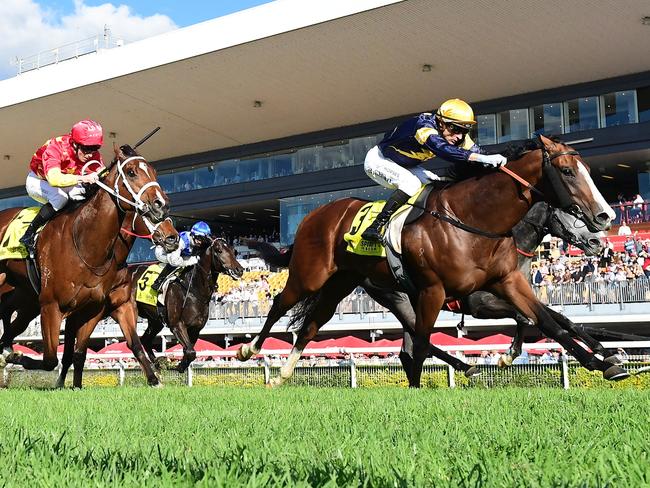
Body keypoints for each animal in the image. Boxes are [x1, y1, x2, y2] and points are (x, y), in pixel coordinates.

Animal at [0, 145, 171, 374]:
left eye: (153, 171)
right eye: (132, 172)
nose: (161, 205)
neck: (85, 245)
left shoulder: (96, 307)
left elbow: (78, 354)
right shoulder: (51, 306)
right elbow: (51, 360)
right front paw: (16, 357)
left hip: (25, 297)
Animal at [134, 238, 243, 372]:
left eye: (234, 251)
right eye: (219, 250)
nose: (239, 270)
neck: (193, 289)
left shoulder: (195, 328)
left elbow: (189, 350)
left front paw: (179, 365)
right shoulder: (177, 325)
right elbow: (190, 351)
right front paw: (178, 366)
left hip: (155, 321)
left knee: (146, 340)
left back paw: (157, 364)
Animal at [237, 135, 624, 386]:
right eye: (568, 172)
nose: (604, 220)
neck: (474, 221)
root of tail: (313, 215)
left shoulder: (507, 283)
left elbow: (550, 321)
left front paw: (605, 360)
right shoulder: (450, 294)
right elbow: (427, 342)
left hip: (347, 285)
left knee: (314, 323)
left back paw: (284, 372)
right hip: (313, 275)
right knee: (280, 303)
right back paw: (248, 349)